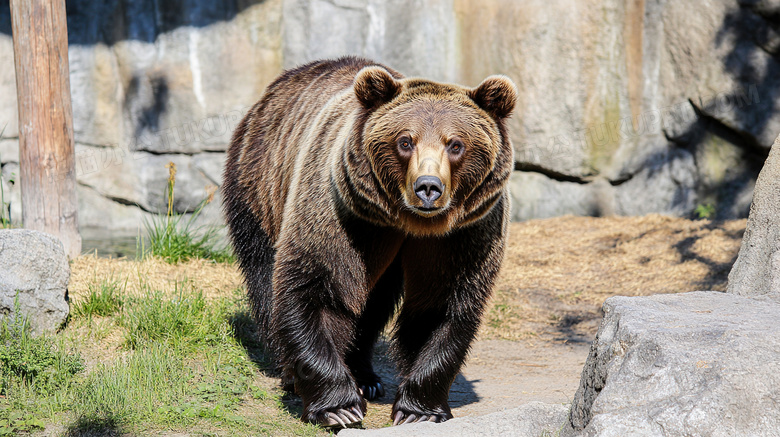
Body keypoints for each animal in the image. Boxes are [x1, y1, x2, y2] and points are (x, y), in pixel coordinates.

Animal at [222, 56, 516, 428]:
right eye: (405, 141)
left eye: (455, 144)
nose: (428, 187)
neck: (409, 224)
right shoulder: (344, 216)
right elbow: (319, 288)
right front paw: (338, 407)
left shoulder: (464, 236)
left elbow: (443, 306)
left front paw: (418, 410)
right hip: (261, 182)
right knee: (264, 275)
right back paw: (292, 372)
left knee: (375, 303)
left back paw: (366, 377)